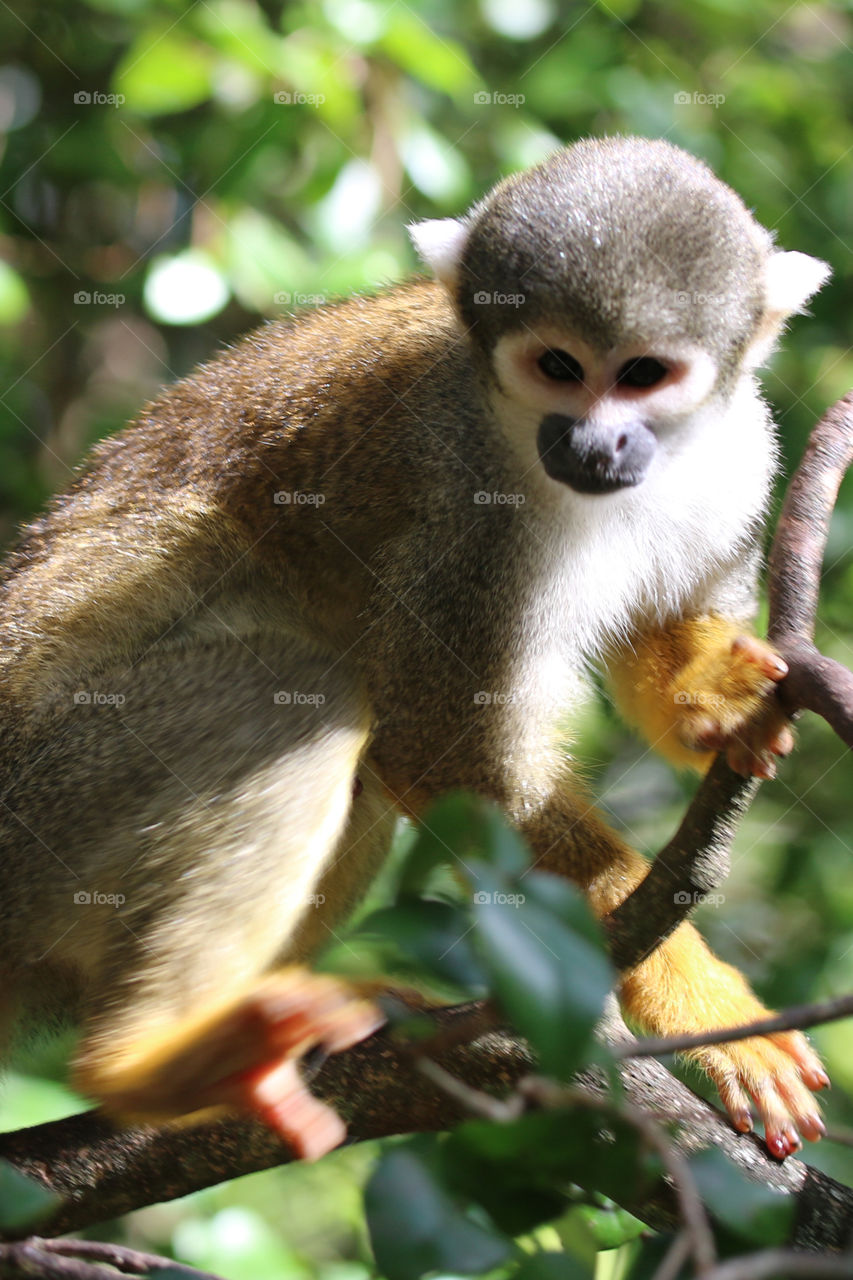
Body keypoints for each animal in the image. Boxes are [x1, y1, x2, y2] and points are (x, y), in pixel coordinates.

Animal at [0, 135, 832, 1163]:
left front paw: (710, 697)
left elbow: (664, 636)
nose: (592, 445)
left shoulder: (742, 447)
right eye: (556, 364)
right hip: (41, 807)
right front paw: (696, 995)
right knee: (298, 688)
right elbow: (445, 746)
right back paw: (151, 1064)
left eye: (642, 374)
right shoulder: (465, 506)